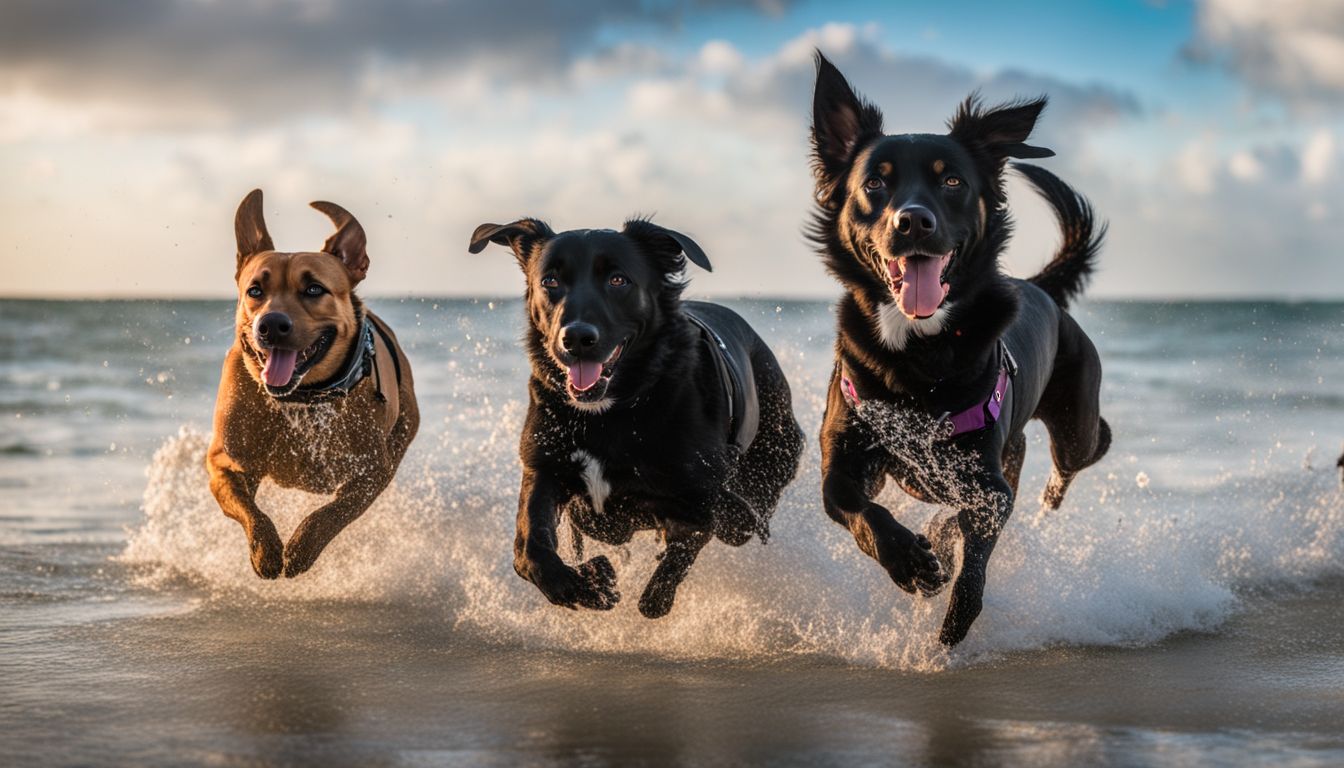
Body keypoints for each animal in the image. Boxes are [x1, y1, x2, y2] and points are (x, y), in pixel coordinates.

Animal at [206, 189, 416, 581]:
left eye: (314, 289)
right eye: (255, 290)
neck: (303, 397)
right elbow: (248, 509)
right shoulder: (226, 464)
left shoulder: (371, 472)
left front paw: (302, 547)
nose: (271, 324)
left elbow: (333, 513)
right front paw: (265, 549)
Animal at [473, 217, 801, 618]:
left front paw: (643, 588)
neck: (611, 409)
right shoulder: (543, 466)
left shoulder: (696, 496)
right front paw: (589, 584)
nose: (576, 338)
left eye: (618, 280)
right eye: (549, 281)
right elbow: (530, 551)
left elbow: (679, 552)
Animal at [806, 51, 1112, 645]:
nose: (912, 221)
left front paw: (953, 619)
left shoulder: (986, 486)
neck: (917, 350)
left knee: (1086, 449)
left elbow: (974, 561)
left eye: (951, 180)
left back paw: (1046, 495)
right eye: (874, 183)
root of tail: (1042, 287)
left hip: (1073, 426)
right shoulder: (844, 460)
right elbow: (856, 509)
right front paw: (909, 560)